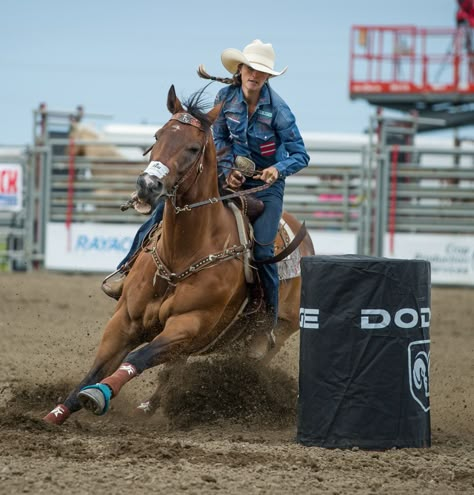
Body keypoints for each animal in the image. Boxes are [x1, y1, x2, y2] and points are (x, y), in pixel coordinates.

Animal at [43, 85, 314, 426]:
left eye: (194, 148)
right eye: (158, 136)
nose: (147, 185)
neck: (179, 256)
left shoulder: (188, 324)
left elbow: (137, 358)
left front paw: (99, 394)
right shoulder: (125, 319)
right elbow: (97, 367)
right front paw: (54, 414)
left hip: (275, 333)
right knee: (173, 370)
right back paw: (148, 406)